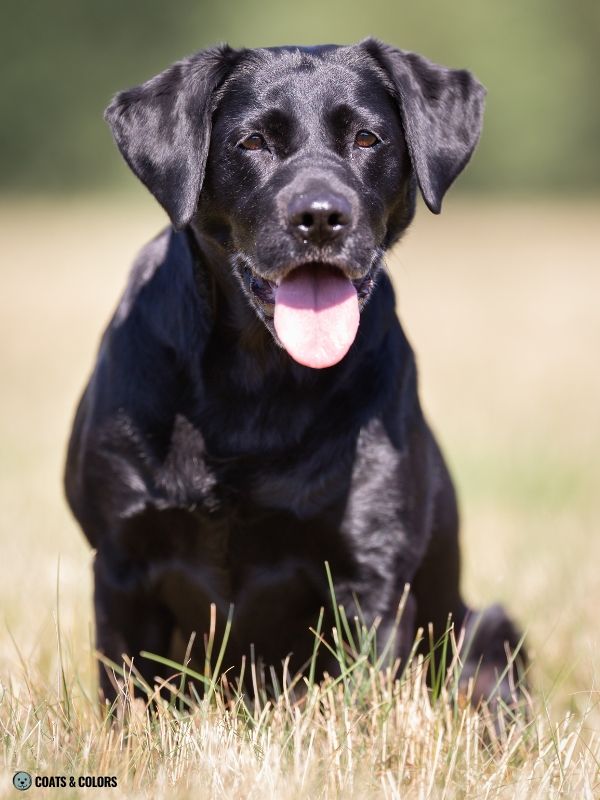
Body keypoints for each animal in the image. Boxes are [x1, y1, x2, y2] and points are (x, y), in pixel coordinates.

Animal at [64, 40, 524, 704]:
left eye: (367, 137)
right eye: (253, 141)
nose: (321, 216)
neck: (257, 379)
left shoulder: (370, 578)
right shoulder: (122, 564)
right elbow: (129, 700)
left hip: (489, 629)